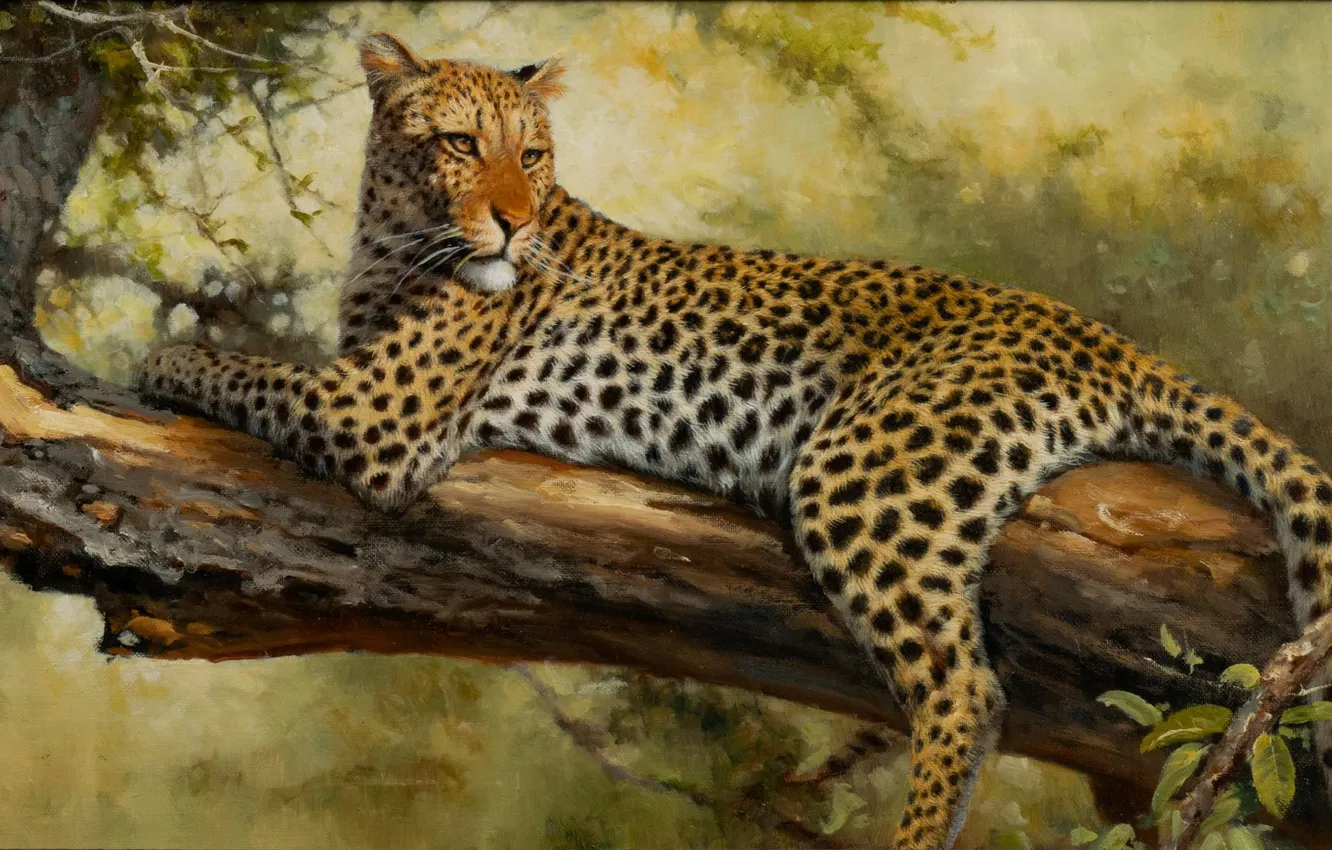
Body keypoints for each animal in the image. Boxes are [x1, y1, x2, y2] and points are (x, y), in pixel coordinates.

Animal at [138, 31, 1332, 849]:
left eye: (536, 152)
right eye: (459, 144)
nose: (515, 222)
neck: (391, 239)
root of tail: (1101, 335)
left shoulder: (373, 414)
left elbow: (247, 370)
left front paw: (154, 362)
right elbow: (263, 364)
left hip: (865, 476)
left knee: (967, 691)